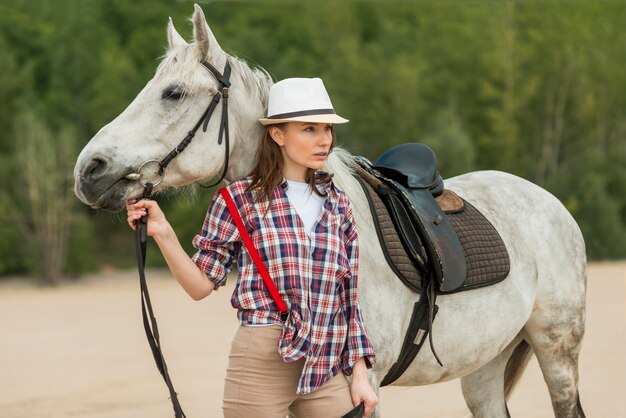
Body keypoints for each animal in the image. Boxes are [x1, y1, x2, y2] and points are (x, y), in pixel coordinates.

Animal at [72, 4, 584, 416]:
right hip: (485, 365)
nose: (88, 171)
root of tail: (549, 202)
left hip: (557, 351)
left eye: (173, 93)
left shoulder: (363, 382)